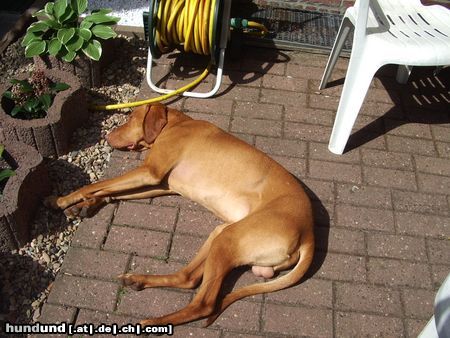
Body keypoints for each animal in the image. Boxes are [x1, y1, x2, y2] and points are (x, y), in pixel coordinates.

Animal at [45, 103, 312, 328]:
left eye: (131, 118)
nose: (107, 136)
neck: (175, 124)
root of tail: (308, 234)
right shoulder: (162, 184)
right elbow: (109, 190)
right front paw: (86, 205)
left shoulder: (150, 172)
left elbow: (97, 184)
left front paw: (62, 199)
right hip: (223, 234)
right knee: (188, 278)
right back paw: (140, 280)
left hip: (231, 238)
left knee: (204, 304)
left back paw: (154, 321)